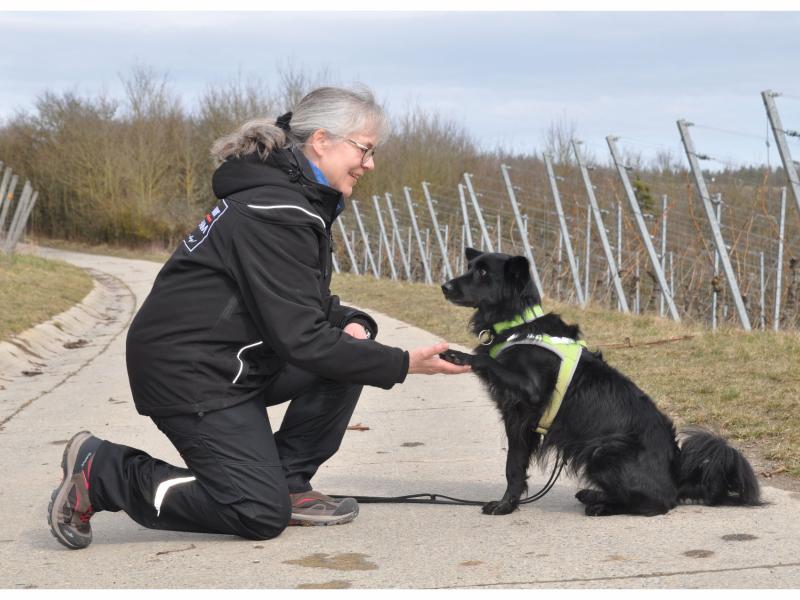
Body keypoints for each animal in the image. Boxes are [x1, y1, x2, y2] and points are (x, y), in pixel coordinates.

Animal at [440, 248, 760, 516]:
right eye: (470, 267)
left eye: (483, 273)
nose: (445, 286)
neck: (518, 325)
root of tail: (677, 474)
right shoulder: (519, 421)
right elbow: (515, 467)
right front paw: (509, 503)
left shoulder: (527, 395)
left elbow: (487, 363)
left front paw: (457, 355)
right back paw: (594, 496)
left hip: (603, 451)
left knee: (658, 504)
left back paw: (601, 505)